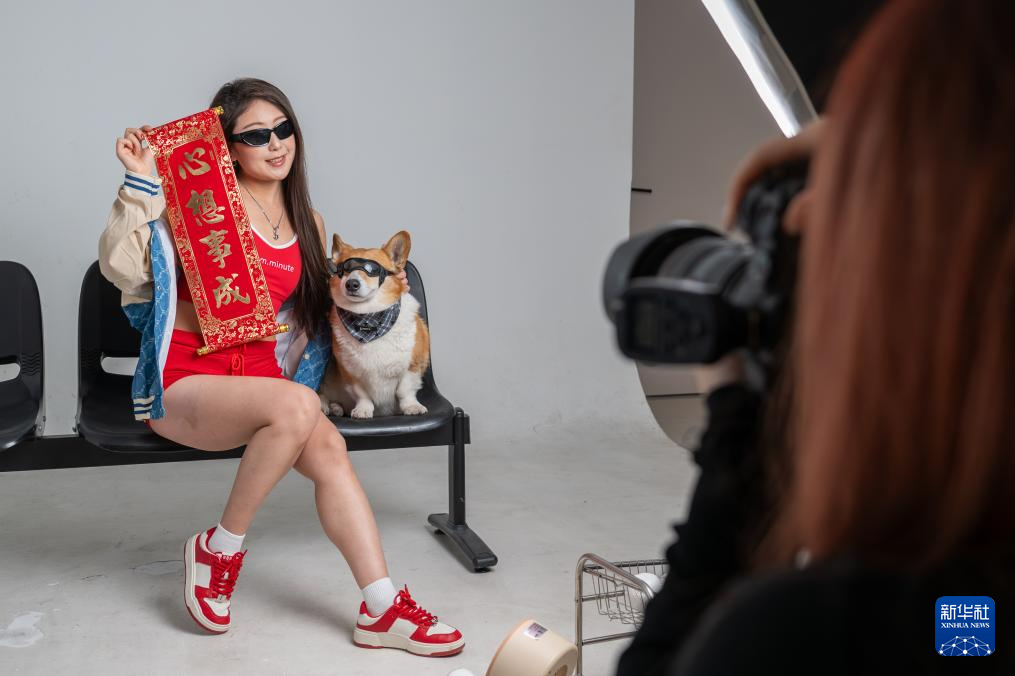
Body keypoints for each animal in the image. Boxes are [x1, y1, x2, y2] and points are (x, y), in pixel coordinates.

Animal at [318, 231, 431, 419]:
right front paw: (363, 409)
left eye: (372, 270)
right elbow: (362, 394)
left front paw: (411, 407)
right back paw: (329, 407)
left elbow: (405, 390)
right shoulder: (350, 373)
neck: (368, 319)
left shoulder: (413, 365)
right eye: (345, 269)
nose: (352, 284)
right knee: (323, 393)